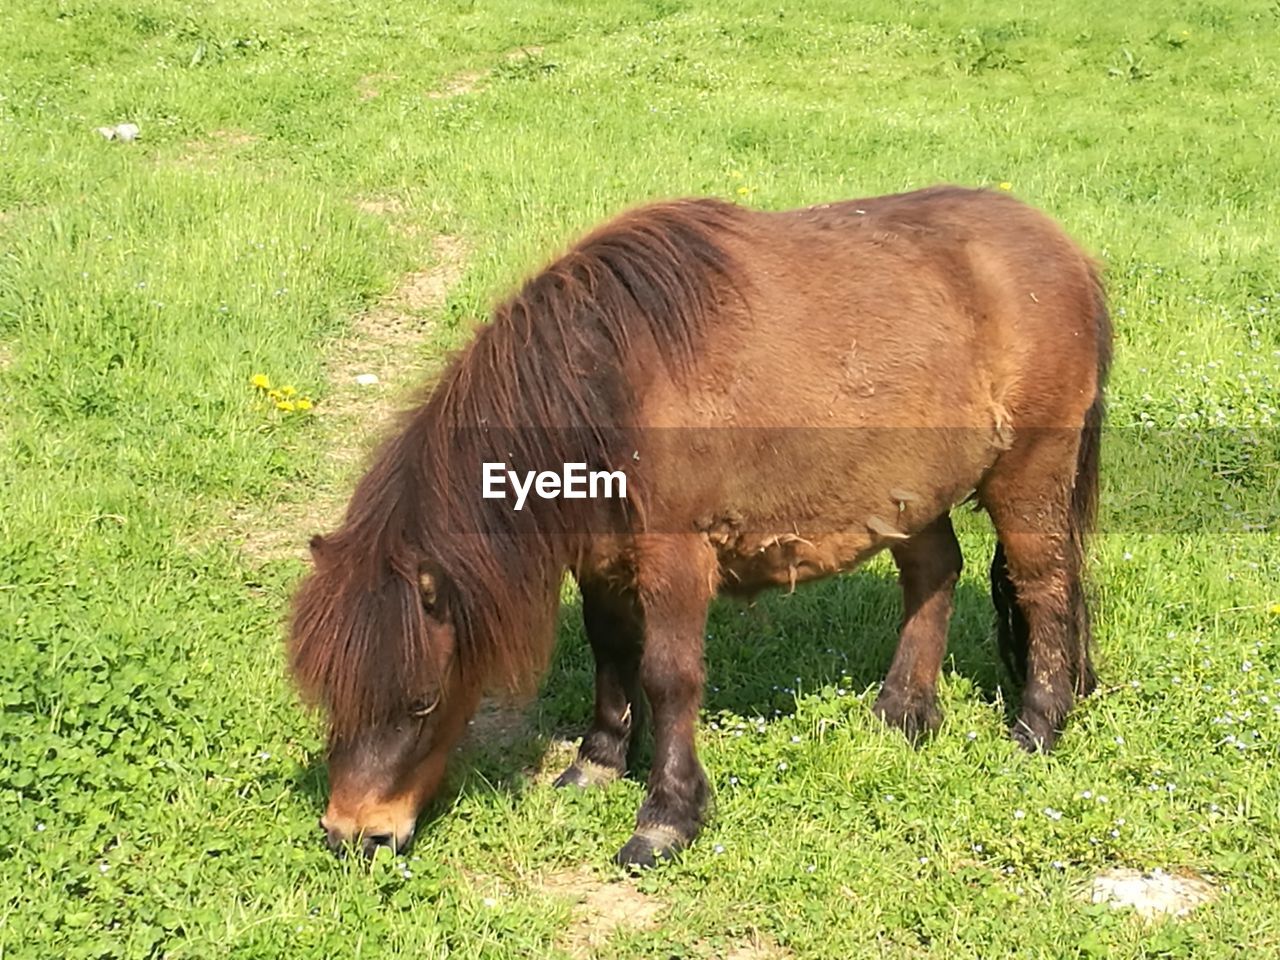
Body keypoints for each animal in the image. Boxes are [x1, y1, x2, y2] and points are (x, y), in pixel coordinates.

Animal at [290, 184, 1111, 870]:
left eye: (423, 701)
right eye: (330, 696)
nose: (354, 835)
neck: (612, 381)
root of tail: (1067, 252)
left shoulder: (676, 557)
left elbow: (669, 675)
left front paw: (666, 818)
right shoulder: (601, 557)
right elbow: (612, 652)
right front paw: (598, 761)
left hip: (1029, 474)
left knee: (1044, 585)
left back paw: (1038, 726)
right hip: (911, 491)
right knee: (934, 575)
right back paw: (903, 712)